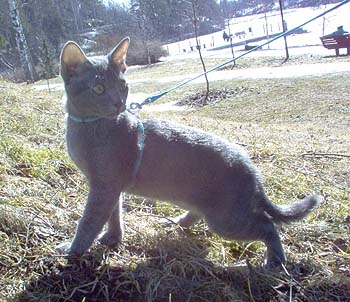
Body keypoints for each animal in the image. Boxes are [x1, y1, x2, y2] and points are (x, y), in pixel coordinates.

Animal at [56, 37, 320, 266]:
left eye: (123, 85)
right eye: (99, 88)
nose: (118, 103)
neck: (89, 126)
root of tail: (253, 170)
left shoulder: (104, 185)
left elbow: (89, 221)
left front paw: (71, 250)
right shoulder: (110, 186)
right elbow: (114, 214)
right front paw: (111, 239)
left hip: (225, 219)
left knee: (267, 225)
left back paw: (275, 260)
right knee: (201, 214)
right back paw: (176, 222)